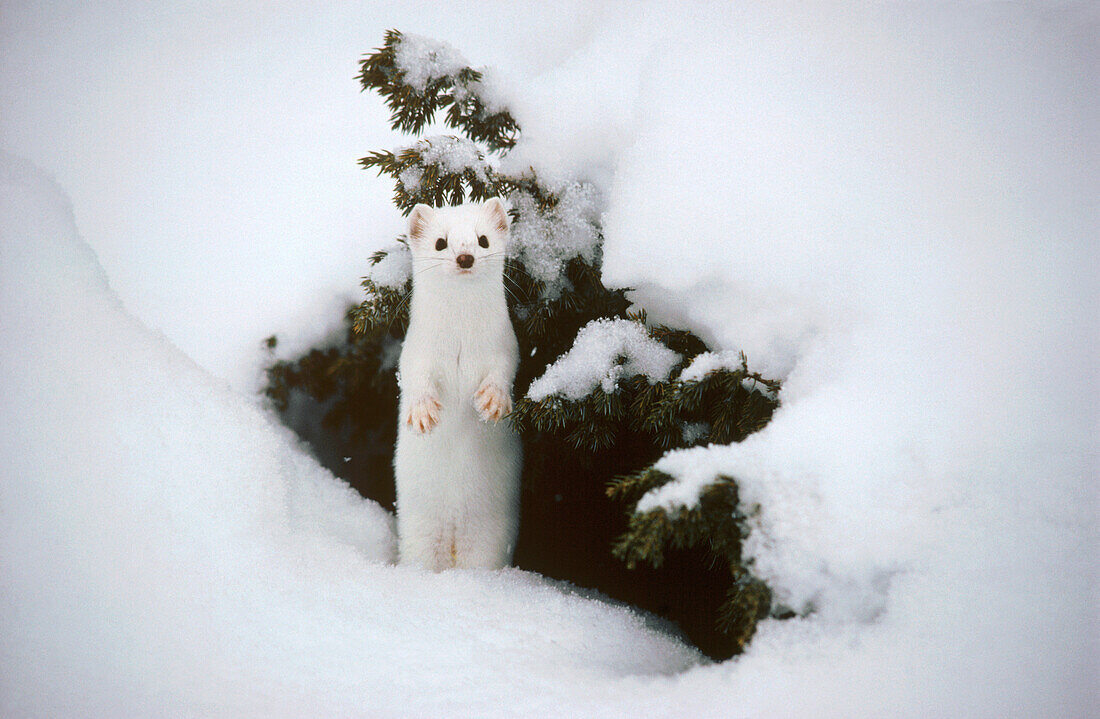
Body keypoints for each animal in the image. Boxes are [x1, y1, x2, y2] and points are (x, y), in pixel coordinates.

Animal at [393, 198, 521, 576]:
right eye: (440, 242)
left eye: (482, 240)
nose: (465, 257)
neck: (461, 339)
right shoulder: (416, 350)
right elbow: (414, 376)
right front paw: (422, 413)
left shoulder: (504, 346)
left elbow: (503, 371)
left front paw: (493, 402)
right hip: (419, 532)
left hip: (489, 538)